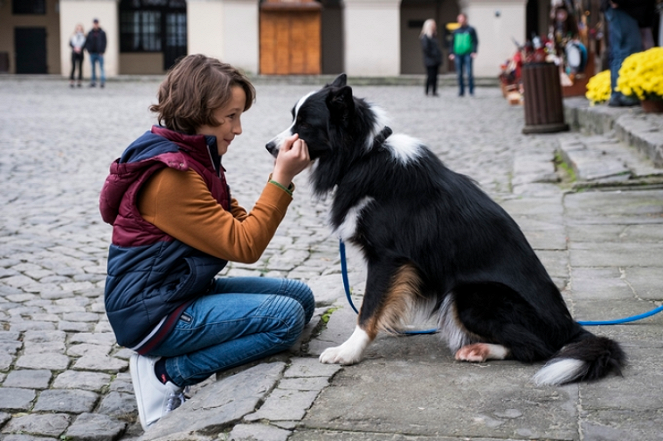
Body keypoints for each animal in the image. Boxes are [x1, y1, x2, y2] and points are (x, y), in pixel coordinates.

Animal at [266, 74, 628, 384]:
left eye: (303, 124)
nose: (270, 147)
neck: (364, 154)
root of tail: (570, 326)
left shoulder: (388, 256)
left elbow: (367, 309)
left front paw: (347, 352)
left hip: (470, 294)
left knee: (538, 348)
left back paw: (478, 349)